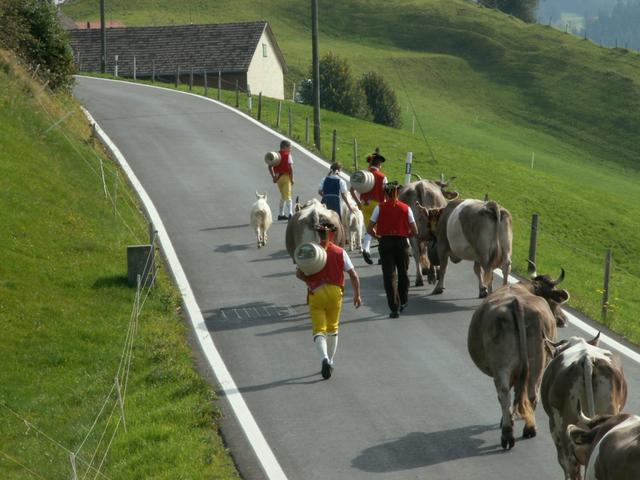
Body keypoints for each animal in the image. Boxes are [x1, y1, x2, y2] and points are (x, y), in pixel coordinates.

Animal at [468, 268, 568, 448]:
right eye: (556, 302)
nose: (564, 320)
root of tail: (517, 303)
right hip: (537, 362)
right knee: (529, 394)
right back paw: (528, 429)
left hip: (504, 365)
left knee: (505, 394)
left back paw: (508, 433)